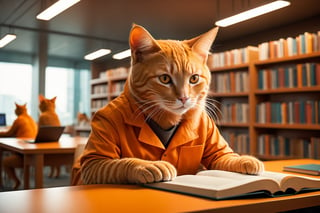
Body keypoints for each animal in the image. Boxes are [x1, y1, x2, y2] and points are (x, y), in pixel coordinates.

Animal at [76, 24, 264, 185]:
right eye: (165, 79)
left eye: (194, 78)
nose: (184, 98)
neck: (167, 119)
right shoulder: (94, 164)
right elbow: (119, 163)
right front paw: (148, 164)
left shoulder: (217, 150)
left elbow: (226, 156)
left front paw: (245, 159)